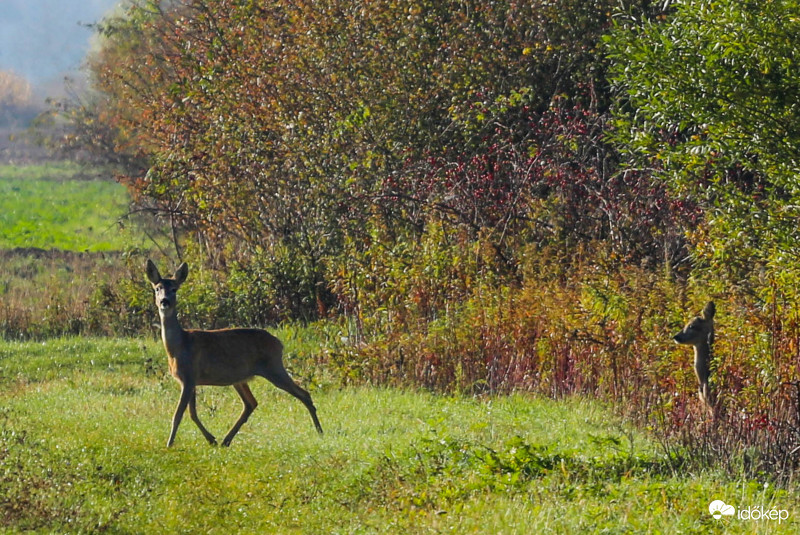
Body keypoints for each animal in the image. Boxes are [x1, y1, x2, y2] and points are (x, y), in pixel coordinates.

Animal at [145, 260, 324, 448]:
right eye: (157, 288)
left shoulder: (189, 376)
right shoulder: (189, 380)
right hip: (240, 378)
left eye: (174, 289)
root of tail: (279, 343)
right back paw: (226, 440)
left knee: (303, 394)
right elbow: (192, 413)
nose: (164, 301)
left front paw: (169, 444)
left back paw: (320, 432)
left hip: (273, 367)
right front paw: (211, 439)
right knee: (251, 403)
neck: (179, 346)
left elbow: (178, 414)